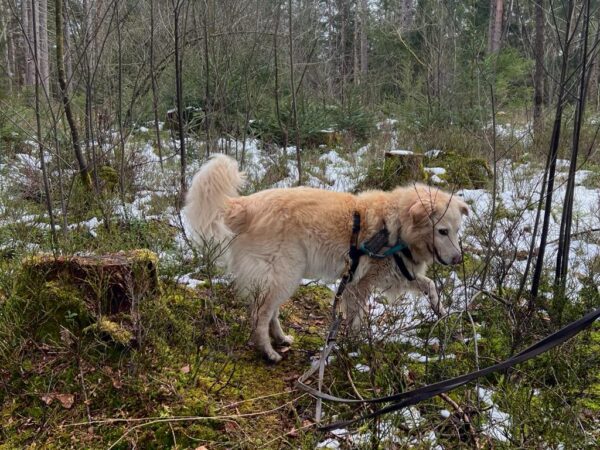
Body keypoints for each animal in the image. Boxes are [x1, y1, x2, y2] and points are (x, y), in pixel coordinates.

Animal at [184, 154, 468, 362]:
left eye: (457, 231)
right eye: (442, 231)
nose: (458, 260)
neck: (395, 226)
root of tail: (247, 205)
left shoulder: (399, 273)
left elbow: (430, 286)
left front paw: (442, 314)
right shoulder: (360, 285)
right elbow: (357, 318)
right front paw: (356, 345)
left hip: (282, 278)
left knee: (270, 312)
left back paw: (281, 339)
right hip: (284, 275)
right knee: (260, 315)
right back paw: (269, 352)